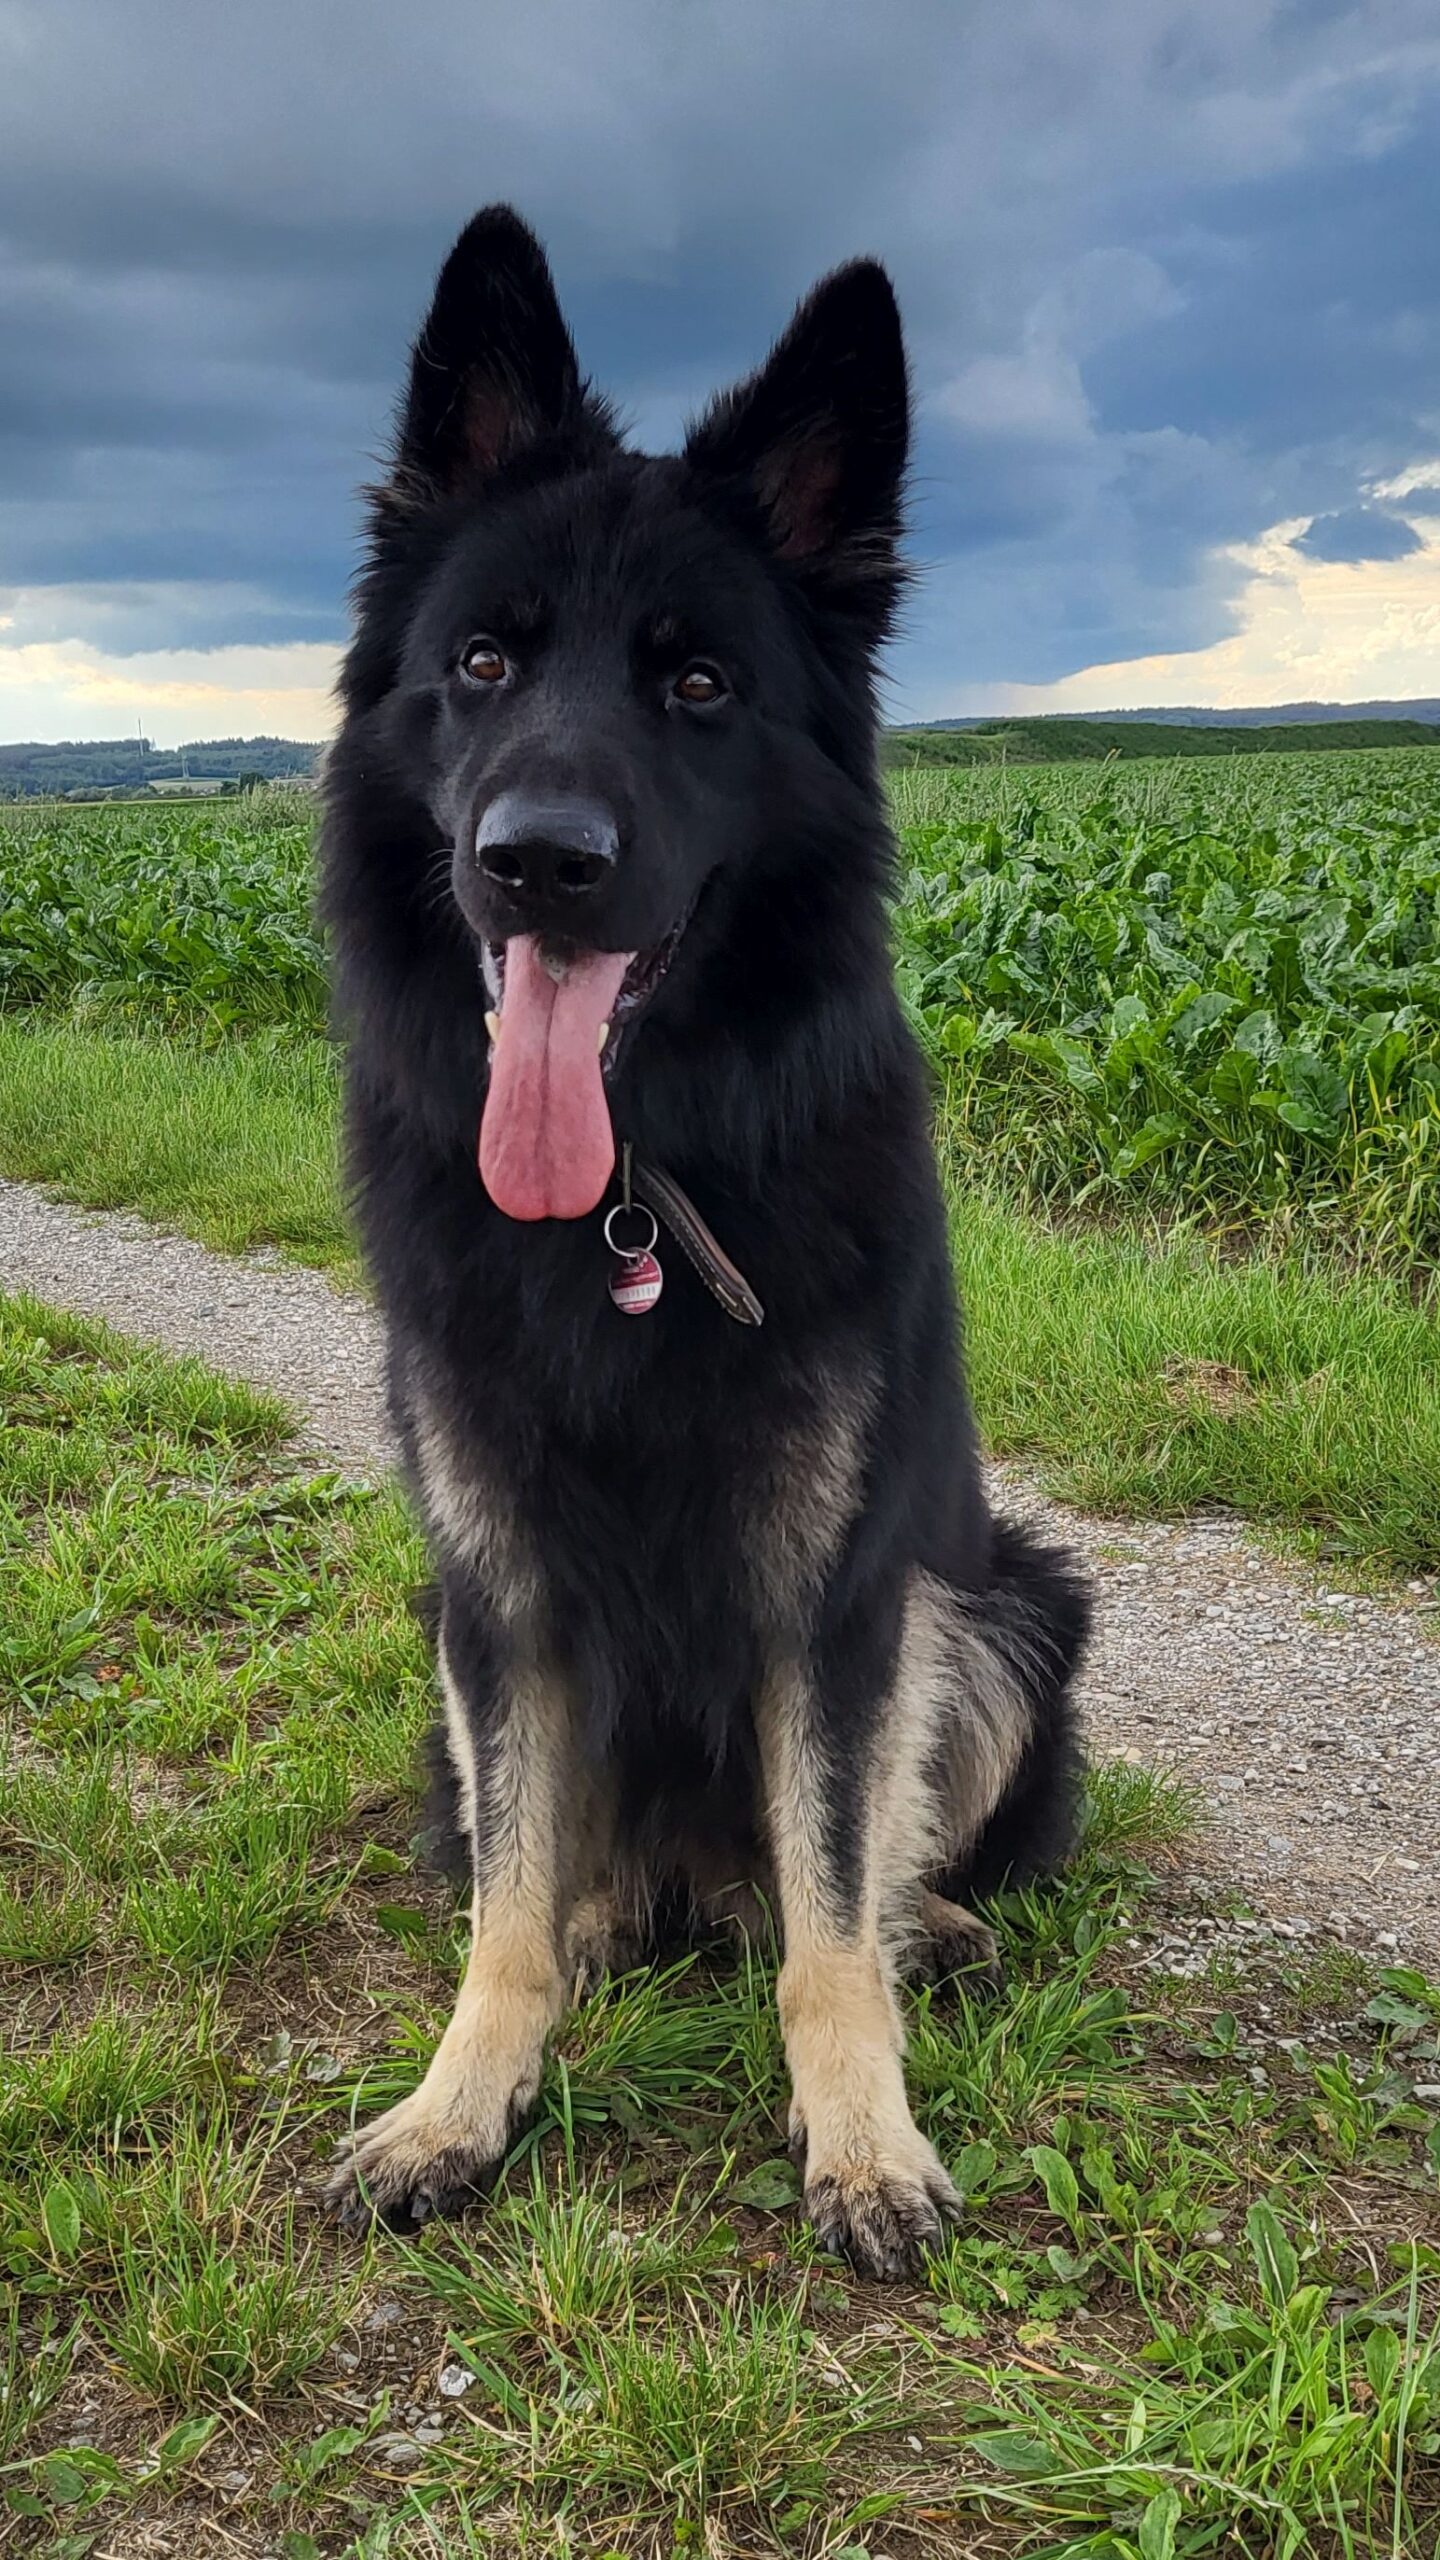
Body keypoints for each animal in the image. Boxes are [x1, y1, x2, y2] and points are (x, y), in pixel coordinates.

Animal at [319, 206, 1088, 2279]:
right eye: (482, 662)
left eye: (697, 688)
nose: (537, 861)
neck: (628, 1197)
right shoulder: (494, 1590)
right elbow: (504, 1904)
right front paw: (461, 2096)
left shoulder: (840, 1599)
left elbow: (832, 1906)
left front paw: (862, 2139)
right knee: (555, 1874)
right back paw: (601, 1927)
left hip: (1008, 1600)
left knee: (843, 1879)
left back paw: (930, 1927)